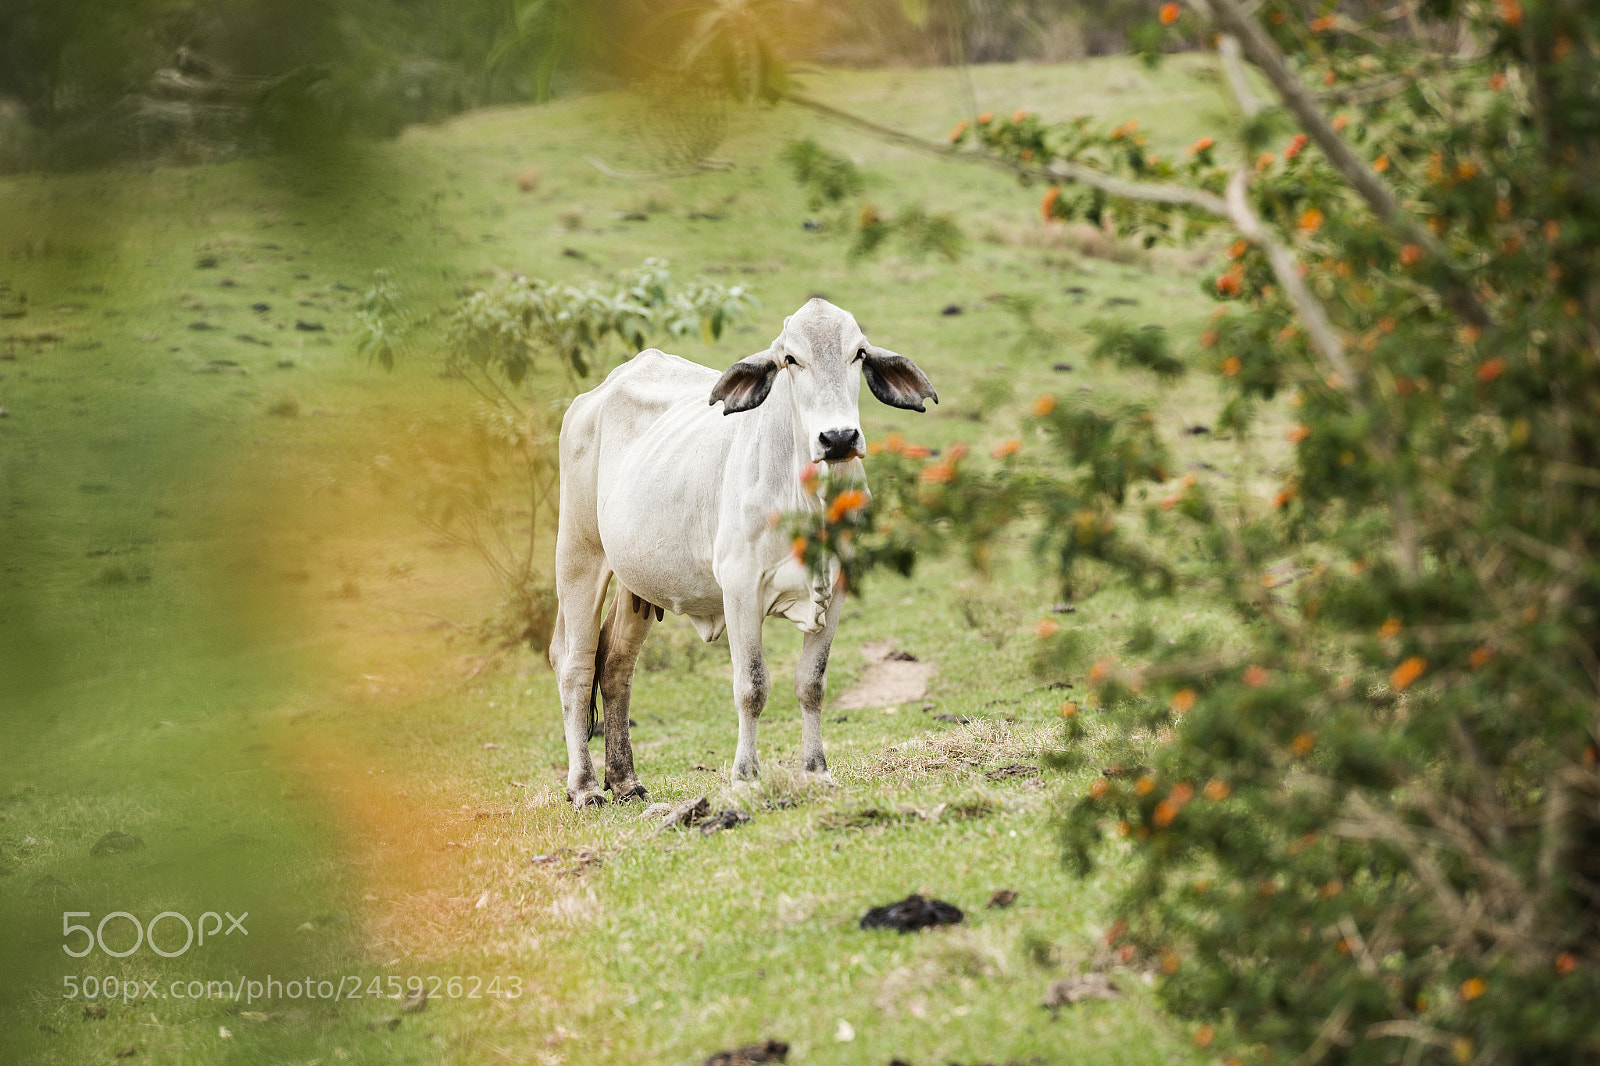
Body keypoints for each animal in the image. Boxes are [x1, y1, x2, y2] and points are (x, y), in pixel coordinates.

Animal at [547, 298, 938, 809]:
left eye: (858, 353)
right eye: (790, 359)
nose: (838, 438)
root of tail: (592, 397)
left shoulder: (837, 587)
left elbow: (812, 683)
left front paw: (816, 773)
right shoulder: (740, 589)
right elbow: (751, 686)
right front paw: (746, 777)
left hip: (637, 582)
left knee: (615, 663)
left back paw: (626, 780)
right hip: (579, 554)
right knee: (575, 662)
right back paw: (586, 786)